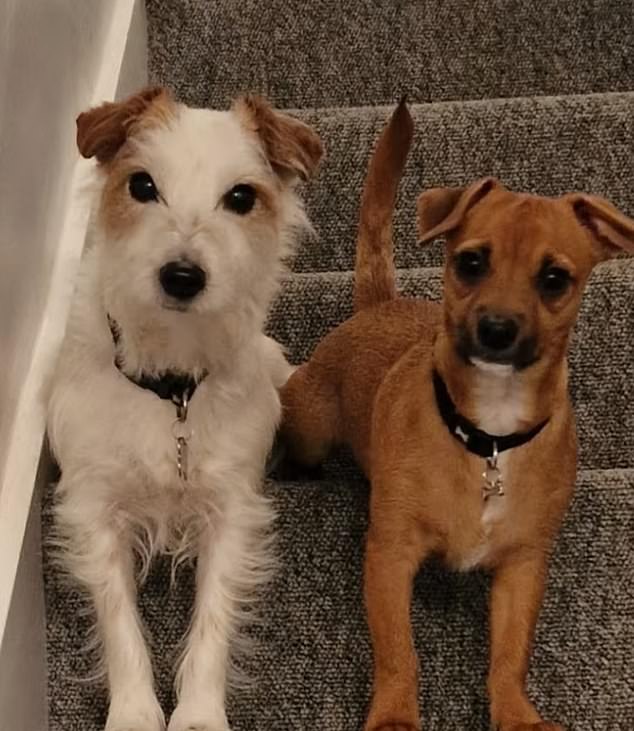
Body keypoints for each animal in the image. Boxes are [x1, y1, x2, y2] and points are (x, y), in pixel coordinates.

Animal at [46, 90, 320, 731]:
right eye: (142, 185)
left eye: (241, 197)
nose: (182, 275)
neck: (170, 386)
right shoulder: (95, 507)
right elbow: (119, 619)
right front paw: (133, 712)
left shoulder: (231, 510)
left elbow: (213, 619)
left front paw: (197, 713)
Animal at [278, 101, 632, 731]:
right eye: (470, 262)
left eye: (555, 279)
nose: (496, 328)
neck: (488, 437)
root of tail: (380, 303)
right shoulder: (390, 556)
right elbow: (399, 650)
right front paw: (395, 717)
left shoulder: (522, 568)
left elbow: (511, 655)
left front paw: (517, 714)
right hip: (310, 427)